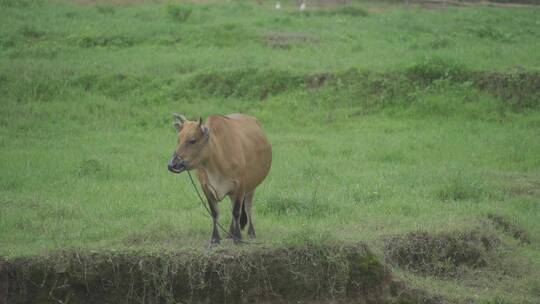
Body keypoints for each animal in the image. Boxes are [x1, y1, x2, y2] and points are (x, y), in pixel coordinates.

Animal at [168, 114, 272, 247]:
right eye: (178, 140)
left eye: (192, 140)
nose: (172, 164)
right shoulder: (206, 188)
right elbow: (215, 213)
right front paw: (215, 239)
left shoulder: (240, 186)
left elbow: (236, 212)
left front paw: (238, 238)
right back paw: (230, 233)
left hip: (251, 187)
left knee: (247, 208)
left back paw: (251, 232)